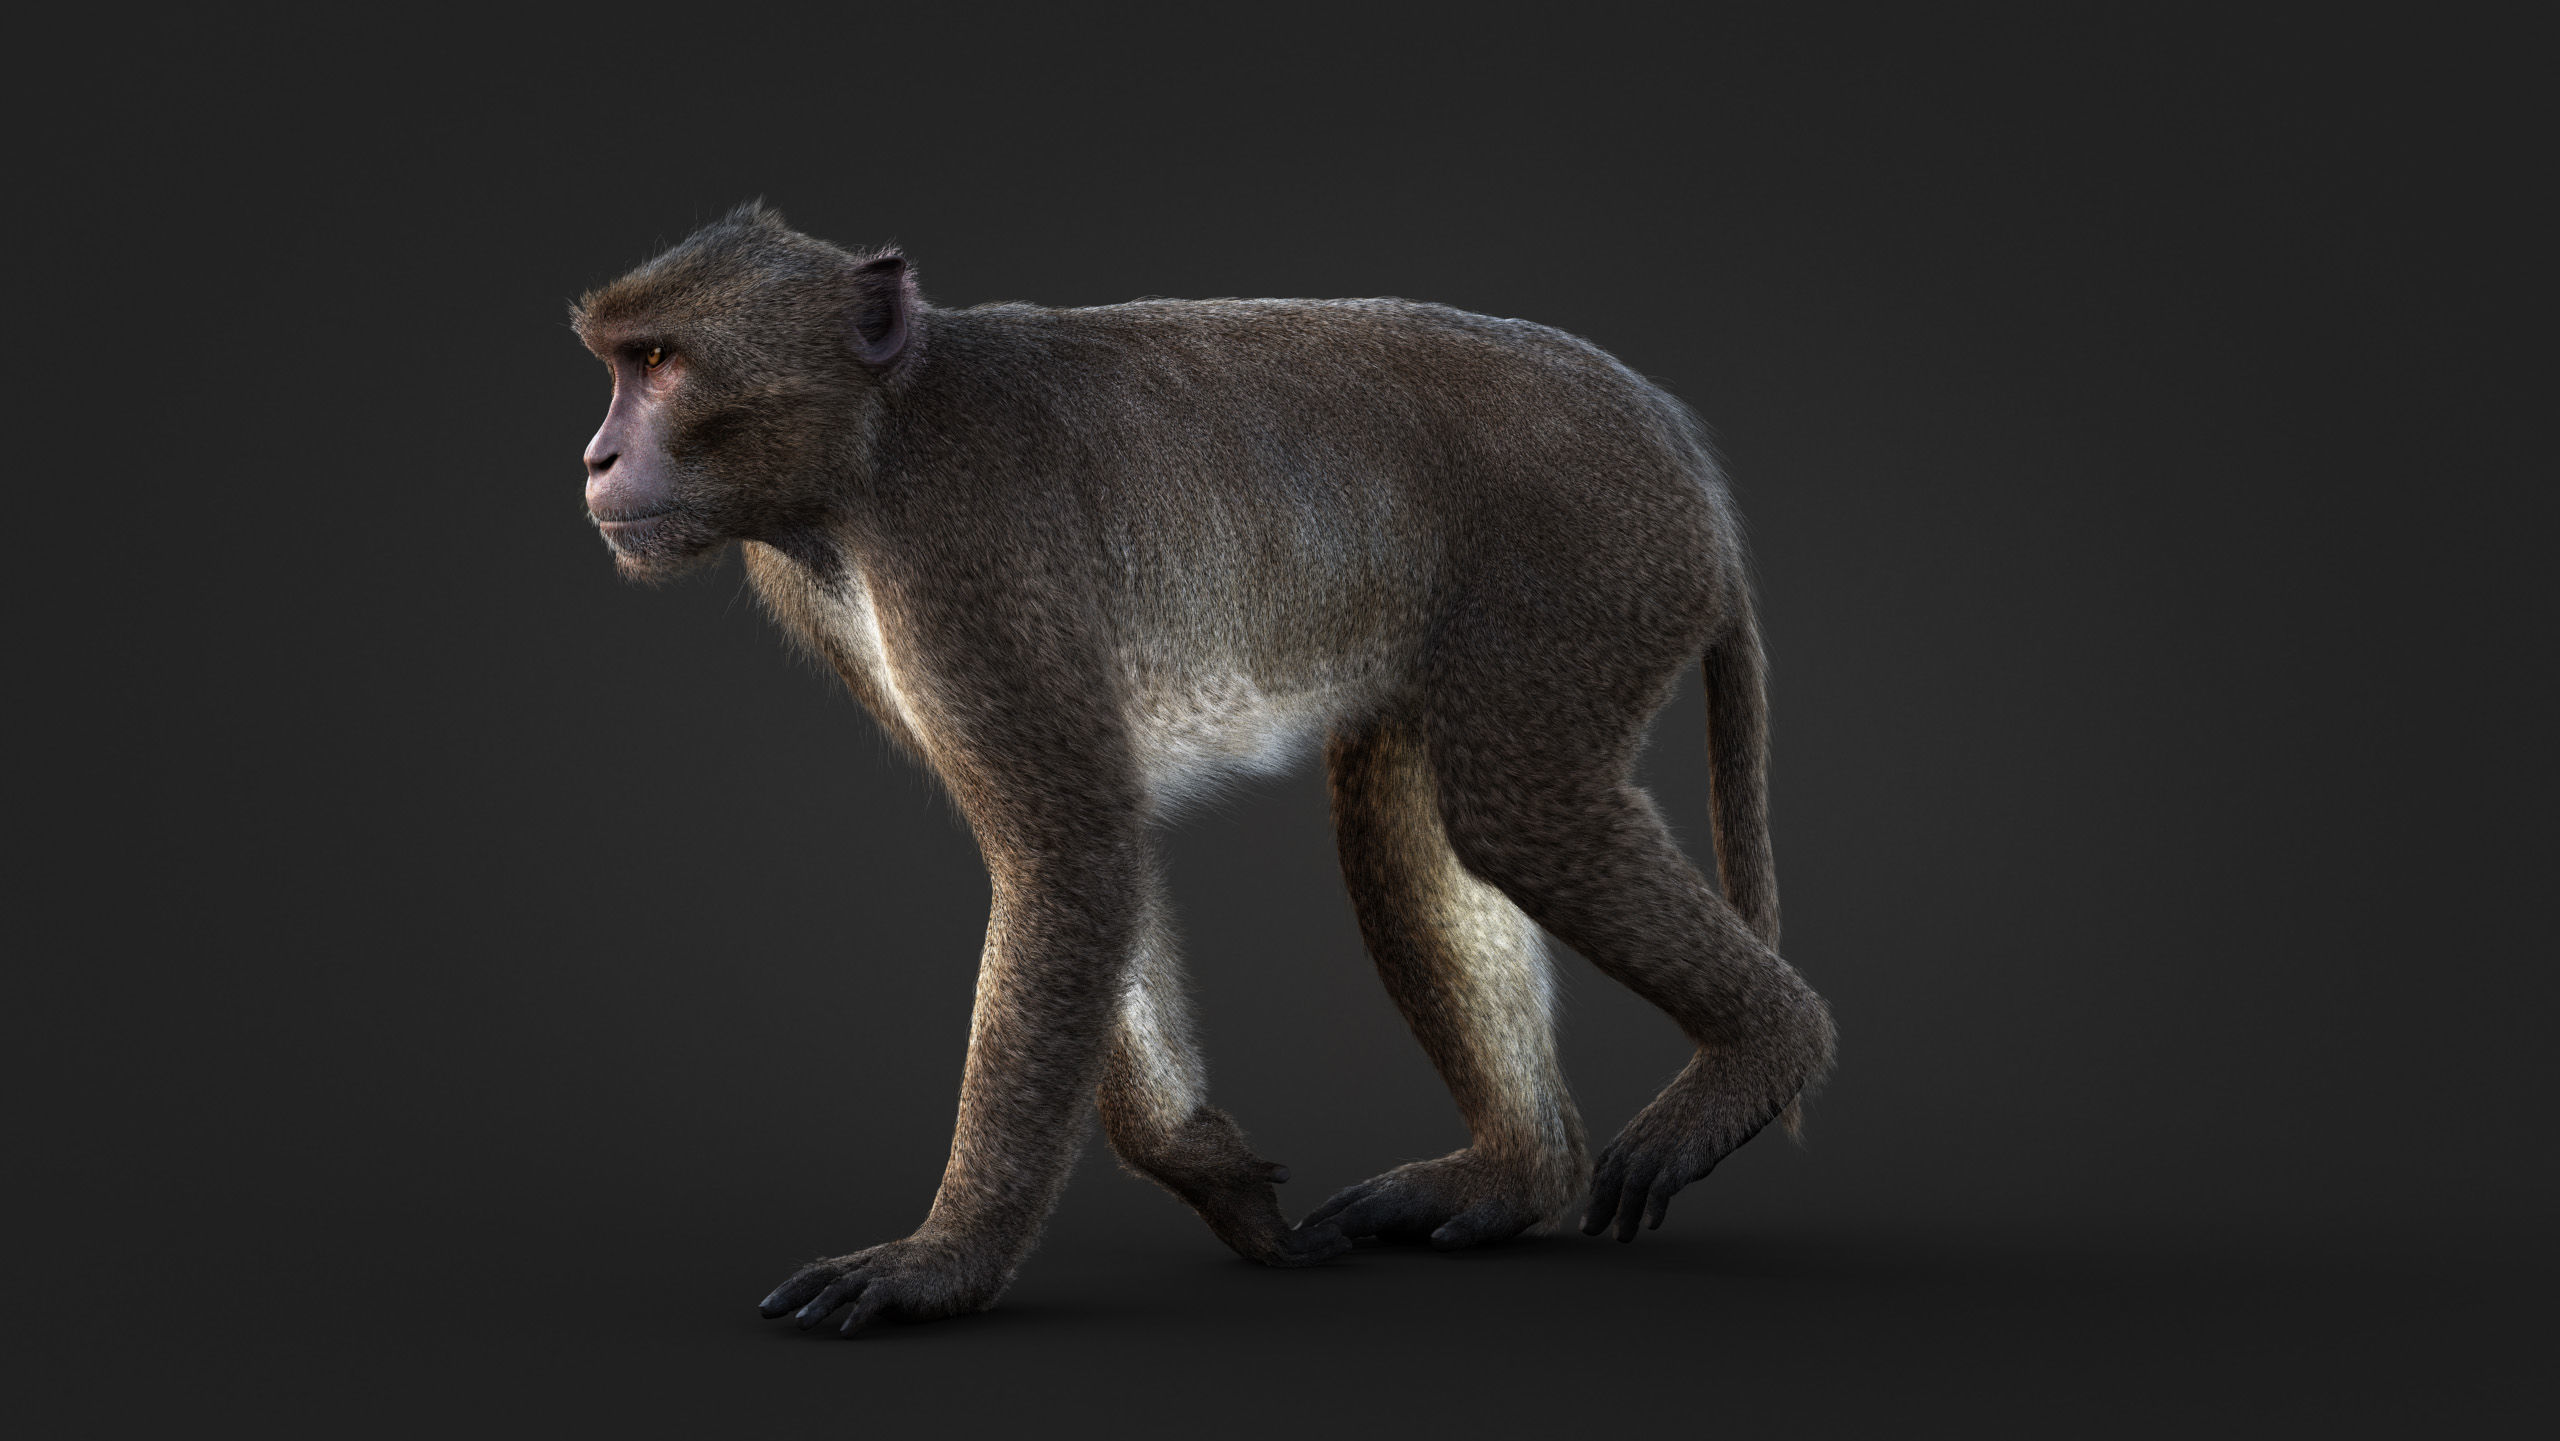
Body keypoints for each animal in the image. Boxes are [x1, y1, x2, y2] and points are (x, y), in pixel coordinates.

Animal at [571, 203, 1836, 1337]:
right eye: (623, 364)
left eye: (661, 363)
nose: (596, 454)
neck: (879, 435)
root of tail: (1670, 432)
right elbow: (1085, 852)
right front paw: (1206, 1171)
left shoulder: (963, 551)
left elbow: (1070, 843)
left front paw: (943, 1263)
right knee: (1407, 812)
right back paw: (1517, 1177)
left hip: (1592, 559)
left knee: (1520, 810)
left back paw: (1764, 1050)